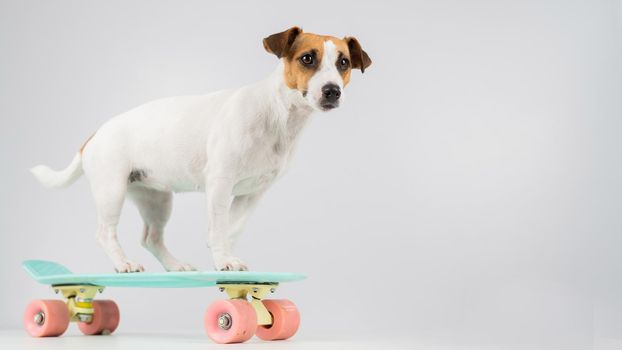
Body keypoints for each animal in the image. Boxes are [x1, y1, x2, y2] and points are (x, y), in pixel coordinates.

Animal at [30, 28, 370, 274]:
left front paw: (223, 254)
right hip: (111, 191)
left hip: (157, 199)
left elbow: (231, 227)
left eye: (343, 63)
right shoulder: (219, 183)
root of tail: (95, 134)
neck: (278, 115)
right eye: (307, 58)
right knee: (105, 233)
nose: (332, 91)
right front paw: (224, 260)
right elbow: (219, 226)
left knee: (151, 237)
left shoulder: (252, 193)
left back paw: (174, 265)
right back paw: (123, 263)